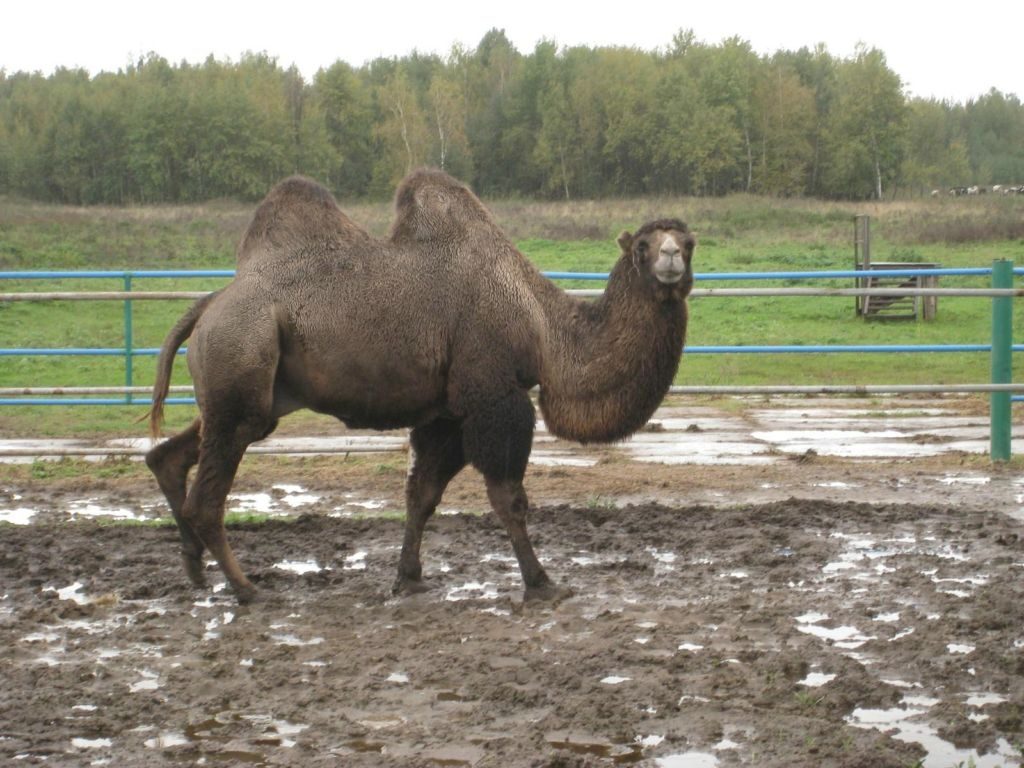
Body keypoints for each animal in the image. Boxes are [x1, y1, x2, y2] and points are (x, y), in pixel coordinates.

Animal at [145, 169, 696, 604]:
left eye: (688, 242)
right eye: (643, 246)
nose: (671, 259)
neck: (543, 328)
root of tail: (208, 304)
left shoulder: (446, 411)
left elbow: (422, 495)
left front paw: (408, 579)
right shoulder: (492, 395)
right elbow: (509, 497)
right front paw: (541, 583)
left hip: (250, 396)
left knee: (171, 454)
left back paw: (194, 568)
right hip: (241, 359)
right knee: (208, 498)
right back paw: (247, 590)